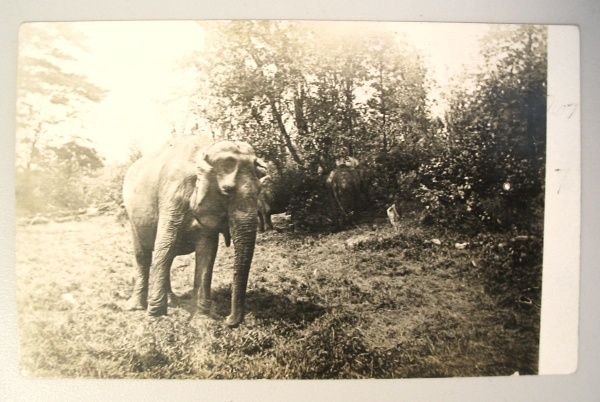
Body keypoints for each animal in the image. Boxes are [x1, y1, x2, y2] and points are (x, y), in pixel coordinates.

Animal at [122, 135, 264, 326]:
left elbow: (207, 251)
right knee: (144, 256)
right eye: (227, 191)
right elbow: (165, 244)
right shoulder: (172, 194)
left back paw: (173, 301)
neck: (205, 152)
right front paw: (155, 320)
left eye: (260, 190)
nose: (227, 319)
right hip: (132, 217)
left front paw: (202, 319)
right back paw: (136, 307)